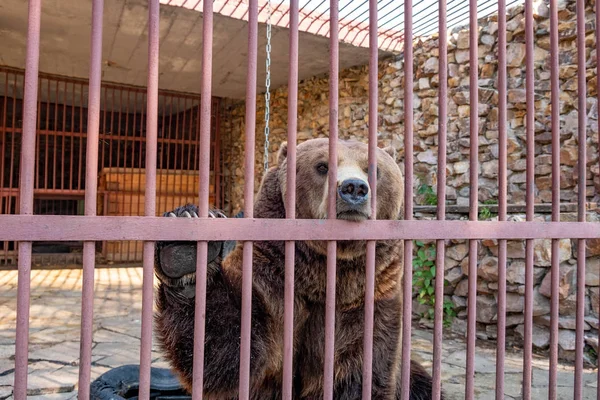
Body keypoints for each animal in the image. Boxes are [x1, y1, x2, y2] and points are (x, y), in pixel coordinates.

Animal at [152, 138, 442, 400]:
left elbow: (362, 371)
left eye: (374, 170)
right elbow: (229, 351)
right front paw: (185, 248)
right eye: (322, 166)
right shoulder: (272, 285)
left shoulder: (371, 301)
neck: (324, 273)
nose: (354, 188)